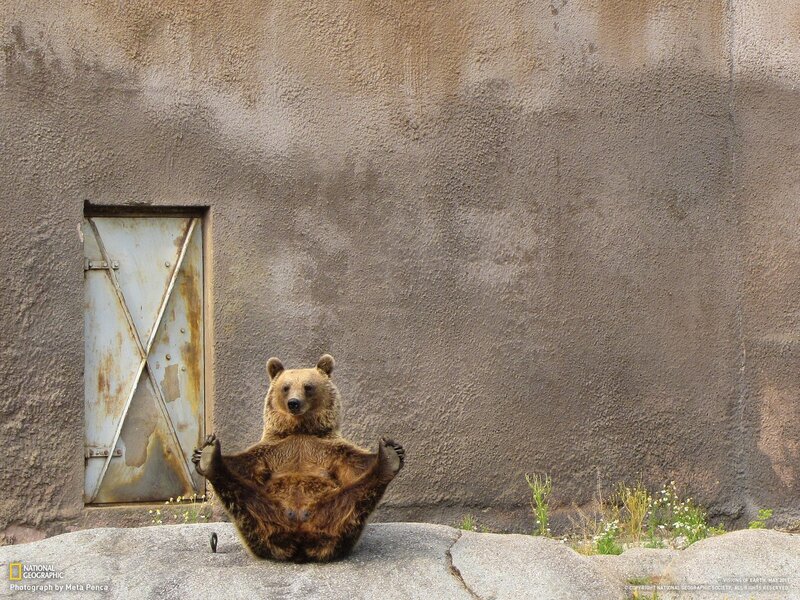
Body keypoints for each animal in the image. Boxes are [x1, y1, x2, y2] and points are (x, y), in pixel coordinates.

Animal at [191, 354, 405, 562]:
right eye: (286, 387)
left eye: (308, 386)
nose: (294, 403)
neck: (300, 429)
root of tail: (300, 541)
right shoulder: (273, 450)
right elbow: (244, 465)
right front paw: (200, 453)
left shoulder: (328, 449)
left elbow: (355, 464)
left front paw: (395, 448)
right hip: (263, 518)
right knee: (242, 497)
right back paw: (210, 458)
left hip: (332, 513)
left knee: (355, 499)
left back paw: (388, 459)